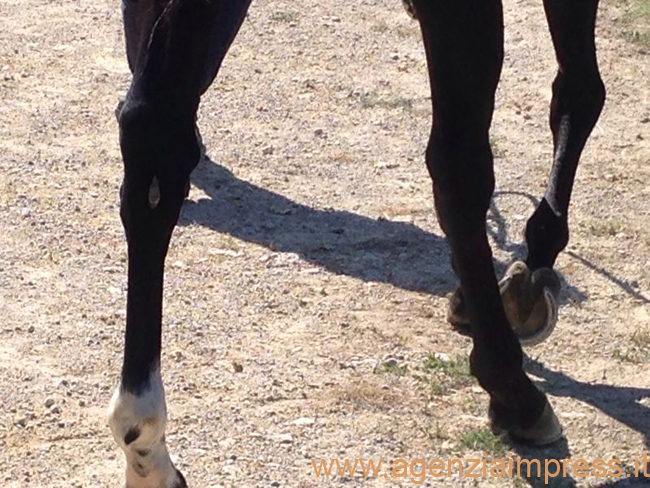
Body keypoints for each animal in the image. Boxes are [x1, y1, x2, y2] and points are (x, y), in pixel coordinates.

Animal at [107, 1, 604, 486]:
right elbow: (579, 91)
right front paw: (532, 269)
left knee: (154, 139)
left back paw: (146, 448)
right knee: (460, 164)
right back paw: (515, 390)